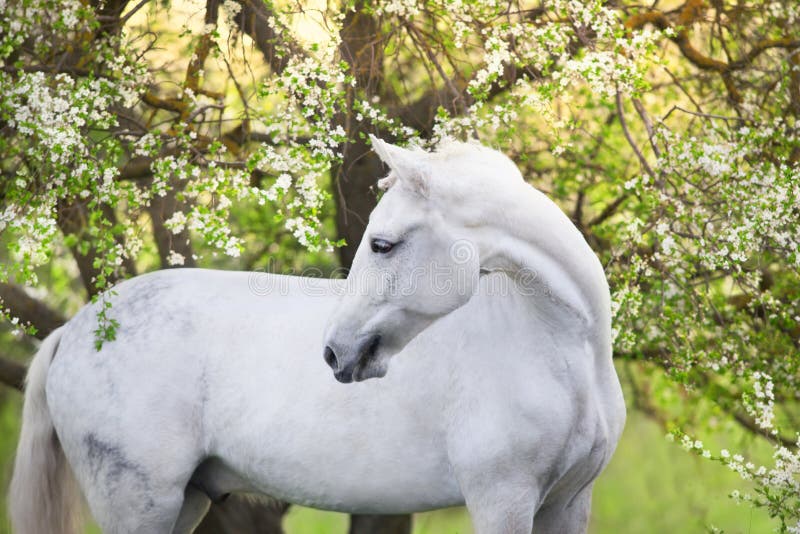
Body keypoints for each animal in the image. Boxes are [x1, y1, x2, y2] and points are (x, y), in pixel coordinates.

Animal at [9, 137, 625, 534]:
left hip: (184, 502)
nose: (334, 352)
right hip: (140, 504)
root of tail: (74, 329)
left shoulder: (568, 505)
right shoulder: (503, 500)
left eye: (382, 244)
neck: (562, 348)